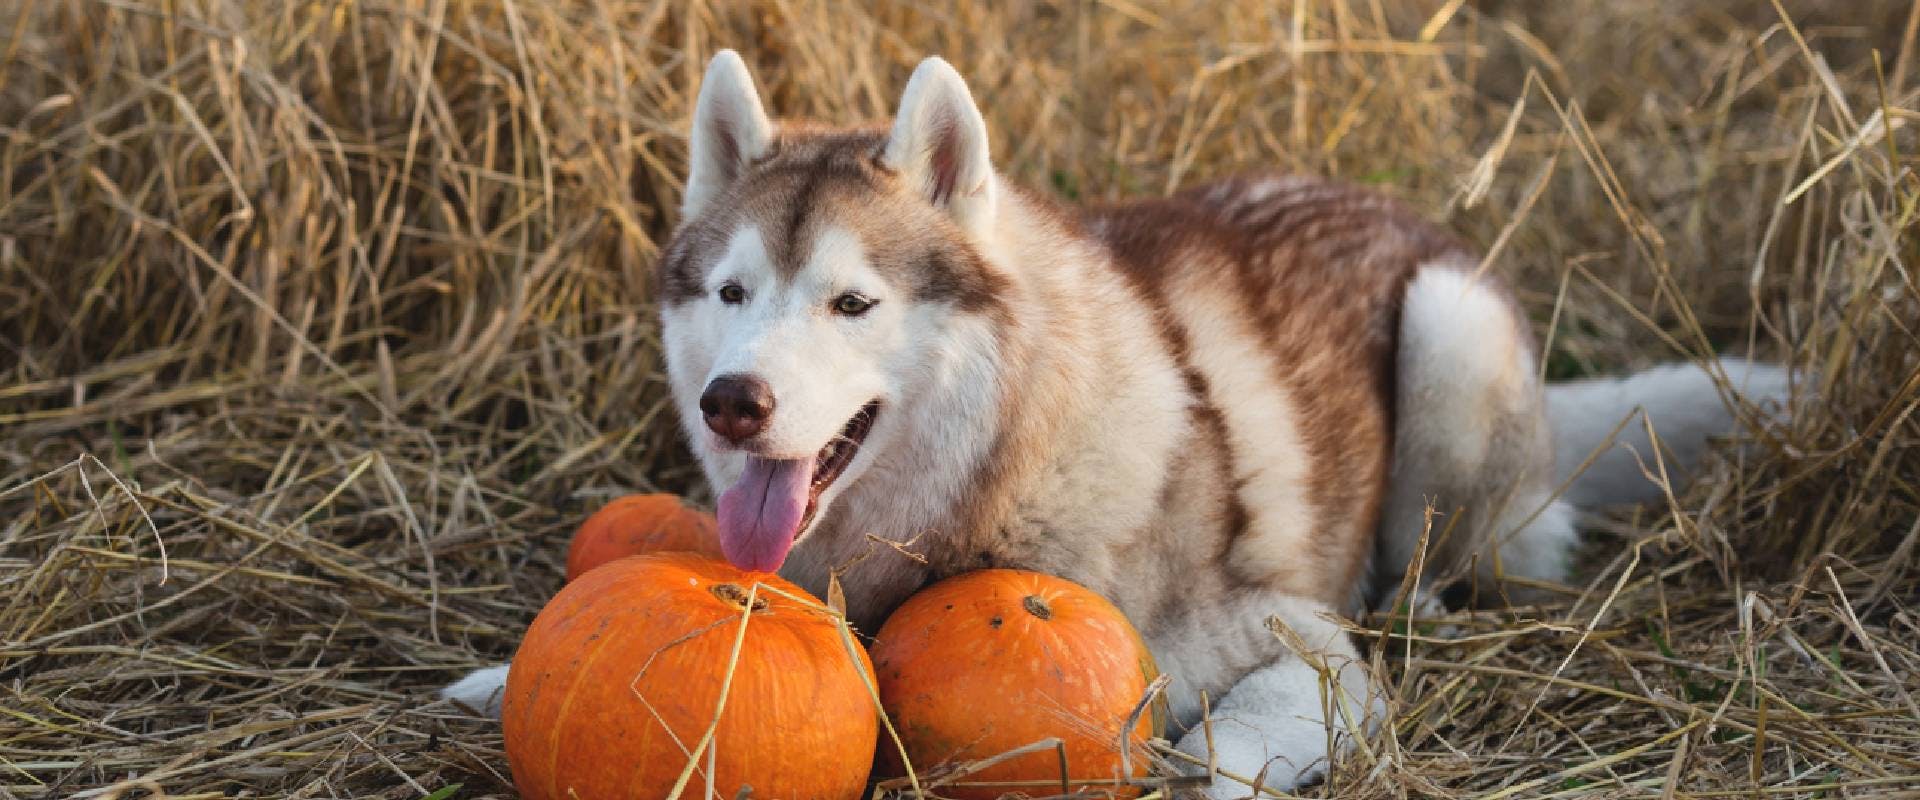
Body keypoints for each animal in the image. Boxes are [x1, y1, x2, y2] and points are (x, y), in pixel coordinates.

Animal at [445, 52, 1781, 794]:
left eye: (852, 301)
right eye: (730, 294)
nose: (734, 402)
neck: (1000, 469)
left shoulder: (1302, 642)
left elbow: (1238, 739)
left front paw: (1216, 771)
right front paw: (504, 672)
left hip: (1447, 339)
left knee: (1474, 561)